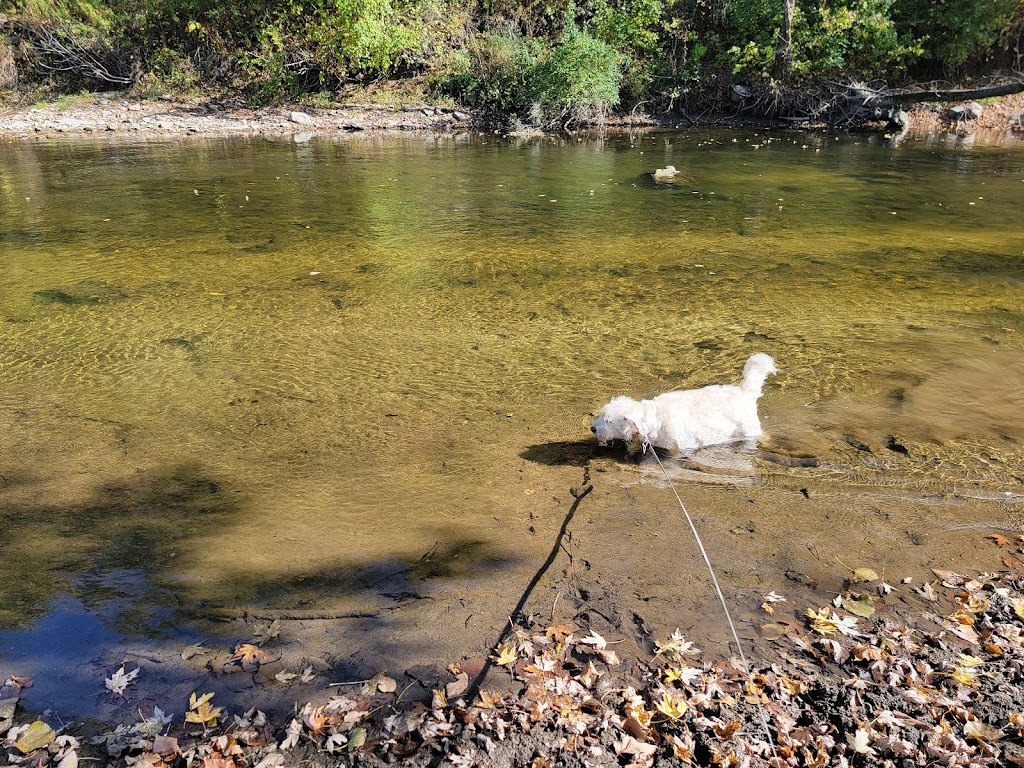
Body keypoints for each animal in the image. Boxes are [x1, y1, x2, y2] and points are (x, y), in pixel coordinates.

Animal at [593, 356, 774, 456]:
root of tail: (746, 391)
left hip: (749, 429)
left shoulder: (678, 447)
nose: (592, 428)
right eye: (601, 415)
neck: (653, 419)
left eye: (609, 421)